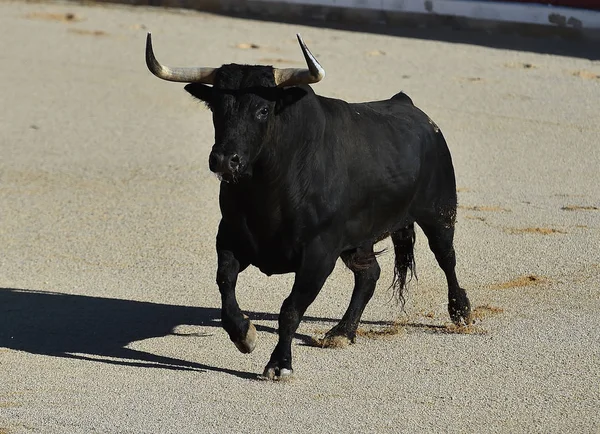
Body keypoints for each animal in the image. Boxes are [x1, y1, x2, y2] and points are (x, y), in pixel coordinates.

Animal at [148, 34, 472, 380]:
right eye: (217, 108)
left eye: (263, 110)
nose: (224, 160)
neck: (268, 192)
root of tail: (408, 105)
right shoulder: (230, 237)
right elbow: (225, 283)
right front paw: (244, 334)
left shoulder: (319, 254)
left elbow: (290, 308)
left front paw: (280, 364)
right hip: (358, 240)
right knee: (369, 273)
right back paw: (342, 332)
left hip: (439, 212)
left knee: (446, 257)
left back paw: (461, 311)